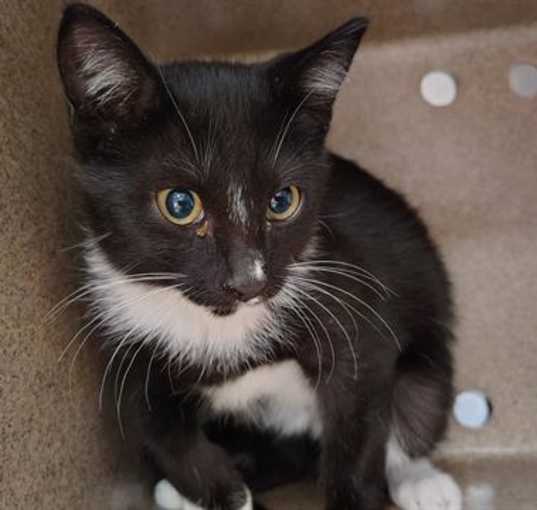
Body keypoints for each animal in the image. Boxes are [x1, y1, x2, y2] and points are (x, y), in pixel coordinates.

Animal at [57, 3, 460, 510]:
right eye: (180, 204)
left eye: (283, 200)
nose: (249, 281)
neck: (220, 327)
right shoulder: (125, 346)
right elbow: (162, 435)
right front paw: (222, 491)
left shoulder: (351, 304)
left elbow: (360, 418)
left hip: (428, 348)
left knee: (417, 400)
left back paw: (424, 482)